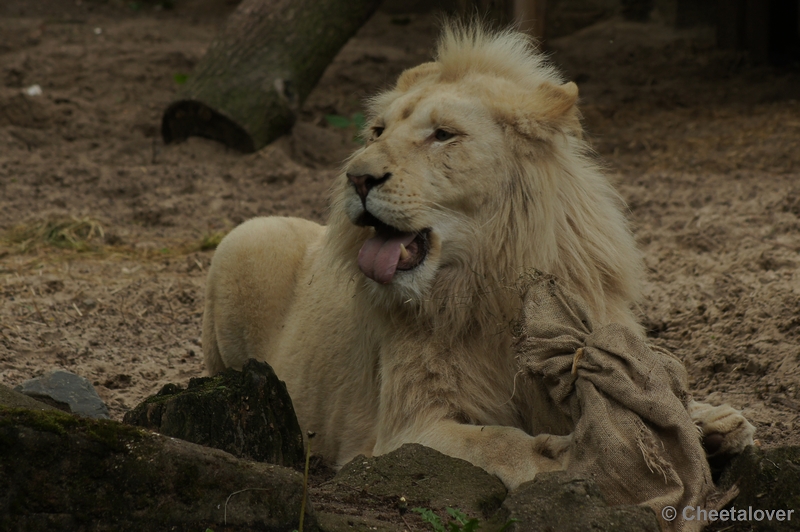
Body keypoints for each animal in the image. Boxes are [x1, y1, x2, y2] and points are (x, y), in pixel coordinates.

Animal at [203, 22, 752, 488]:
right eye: (377, 132)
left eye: (443, 134)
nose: (355, 177)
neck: (490, 282)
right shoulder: (405, 431)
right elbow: (498, 444)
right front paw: (570, 458)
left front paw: (711, 420)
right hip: (246, 237)